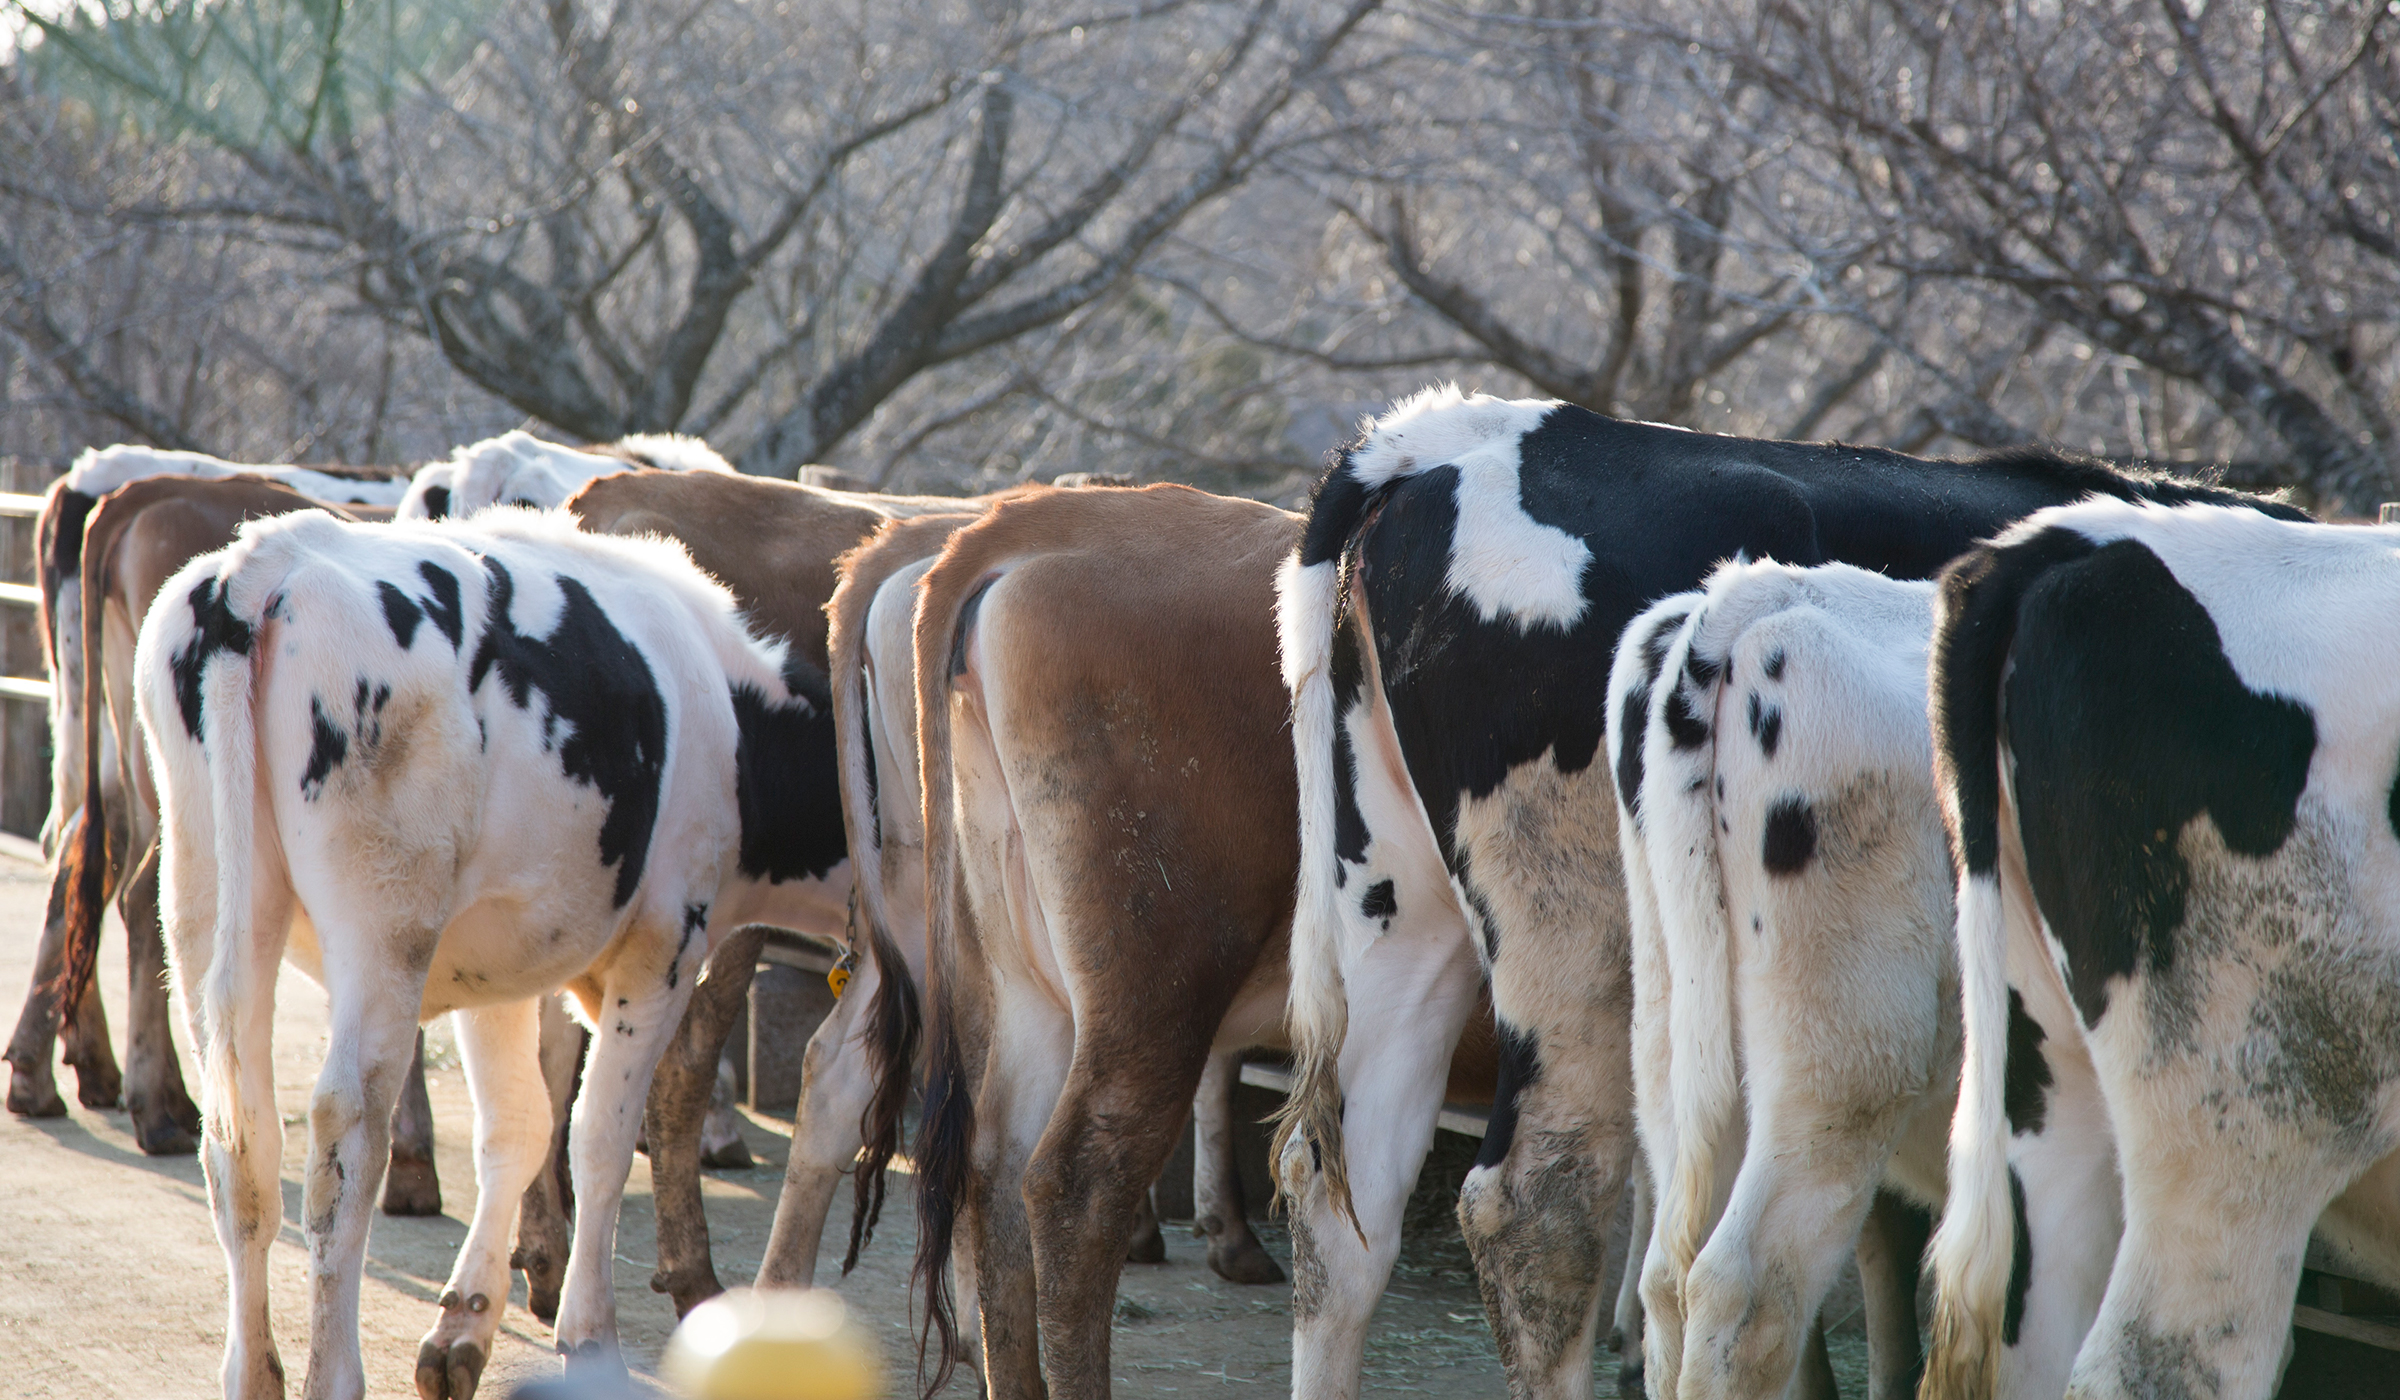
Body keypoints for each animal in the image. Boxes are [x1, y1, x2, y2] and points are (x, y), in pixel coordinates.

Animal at [133, 506, 844, 1400]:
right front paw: (590, 1336)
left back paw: (255, 1372)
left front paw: (465, 1324)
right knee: (346, 1130)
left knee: (243, 1140)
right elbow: (598, 1136)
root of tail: (269, 557)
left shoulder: (494, 965)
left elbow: (517, 1125)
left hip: (206, 896)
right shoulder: (666, 946)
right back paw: (333, 1372)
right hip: (385, 925)